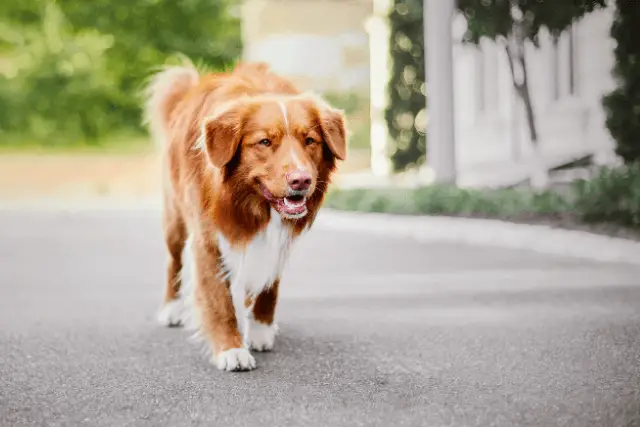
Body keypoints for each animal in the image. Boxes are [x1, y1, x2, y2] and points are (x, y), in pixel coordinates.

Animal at [143, 60, 348, 372]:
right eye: (264, 142)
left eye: (310, 140)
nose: (301, 180)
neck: (250, 203)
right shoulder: (207, 241)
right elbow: (219, 300)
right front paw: (231, 349)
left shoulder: (278, 238)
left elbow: (268, 286)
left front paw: (261, 328)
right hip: (175, 219)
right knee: (173, 261)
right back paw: (171, 308)